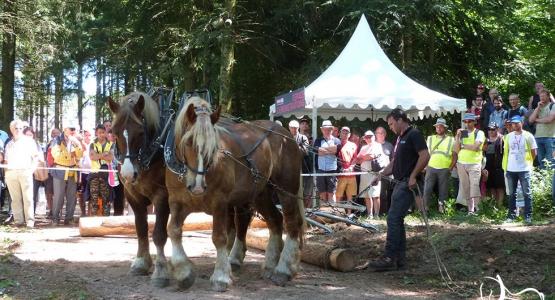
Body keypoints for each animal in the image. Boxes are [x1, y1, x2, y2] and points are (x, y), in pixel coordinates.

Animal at [107, 92, 170, 288]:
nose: (128, 173)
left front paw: (160, 272)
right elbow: (141, 228)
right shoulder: (132, 196)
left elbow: (159, 234)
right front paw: (141, 263)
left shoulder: (163, 196)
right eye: (114, 132)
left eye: (141, 132)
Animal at [168, 97, 308, 292]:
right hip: (260, 194)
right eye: (188, 142)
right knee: (275, 220)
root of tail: (286, 135)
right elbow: (173, 231)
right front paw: (184, 273)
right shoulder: (176, 203)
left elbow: (219, 237)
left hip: (285, 189)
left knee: (292, 222)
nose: (197, 186)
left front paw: (221, 276)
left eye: (213, 147)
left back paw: (283, 269)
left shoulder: (219, 203)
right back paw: (270, 265)